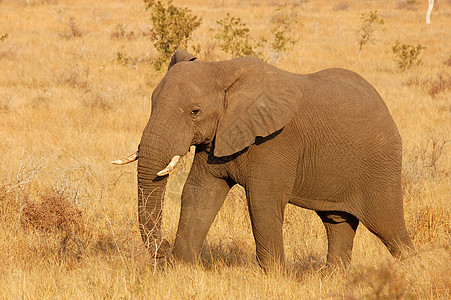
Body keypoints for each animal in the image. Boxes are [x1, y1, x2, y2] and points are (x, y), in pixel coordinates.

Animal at [115, 49, 414, 270]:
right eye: (152, 103)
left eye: (194, 112)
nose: (163, 248)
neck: (222, 70)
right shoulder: (217, 137)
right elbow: (199, 193)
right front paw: (183, 268)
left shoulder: (276, 141)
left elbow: (263, 200)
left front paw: (274, 276)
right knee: (337, 223)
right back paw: (334, 278)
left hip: (380, 165)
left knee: (389, 226)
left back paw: (413, 271)